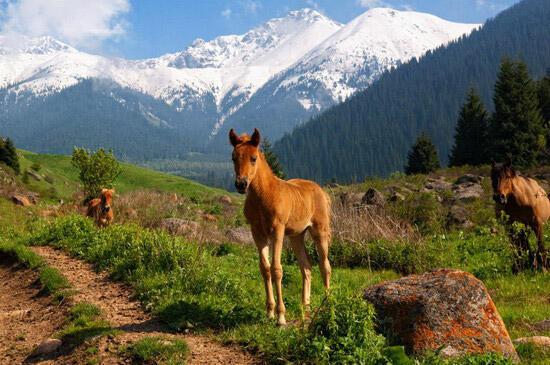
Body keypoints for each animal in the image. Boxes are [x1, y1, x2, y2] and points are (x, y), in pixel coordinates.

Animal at [230, 127, 332, 324]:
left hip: (320, 231)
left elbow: (276, 269)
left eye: (253, 158)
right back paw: (305, 307)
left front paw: (281, 317)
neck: (264, 196)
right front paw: (269, 312)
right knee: (306, 266)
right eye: (233, 157)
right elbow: (265, 269)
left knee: (325, 266)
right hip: (296, 236)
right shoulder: (257, 232)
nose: (241, 184)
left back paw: (327, 304)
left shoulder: (277, 230)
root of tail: (321, 191)